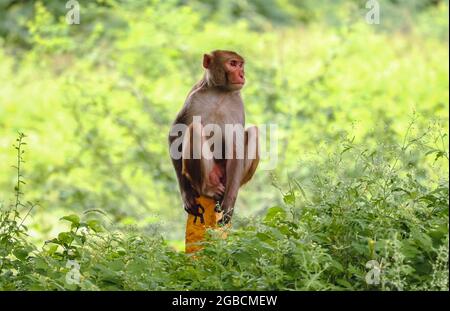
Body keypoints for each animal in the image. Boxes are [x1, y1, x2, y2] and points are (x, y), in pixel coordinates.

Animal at [169, 50, 260, 224]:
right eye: (233, 64)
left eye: (241, 65)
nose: (242, 74)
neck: (219, 92)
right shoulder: (193, 99)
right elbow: (175, 136)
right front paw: (186, 195)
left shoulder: (238, 104)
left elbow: (236, 146)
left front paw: (229, 205)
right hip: (209, 172)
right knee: (194, 128)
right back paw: (206, 189)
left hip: (229, 176)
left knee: (254, 131)